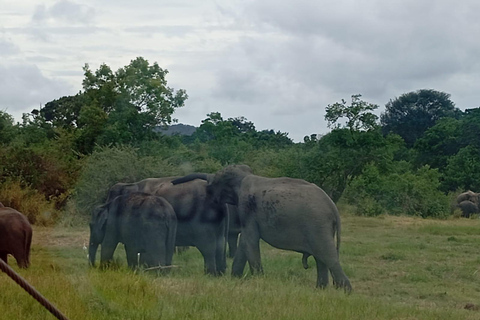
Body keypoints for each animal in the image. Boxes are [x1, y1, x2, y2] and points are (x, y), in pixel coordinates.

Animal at [172, 164, 352, 292]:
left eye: (215, 181)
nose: (173, 182)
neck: (245, 176)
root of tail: (333, 207)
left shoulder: (247, 209)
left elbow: (249, 240)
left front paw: (257, 280)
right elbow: (245, 243)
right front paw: (235, 278)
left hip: (317, 225)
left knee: (328, 256)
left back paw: (345, 291)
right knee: (321, 258)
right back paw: (320, 290)